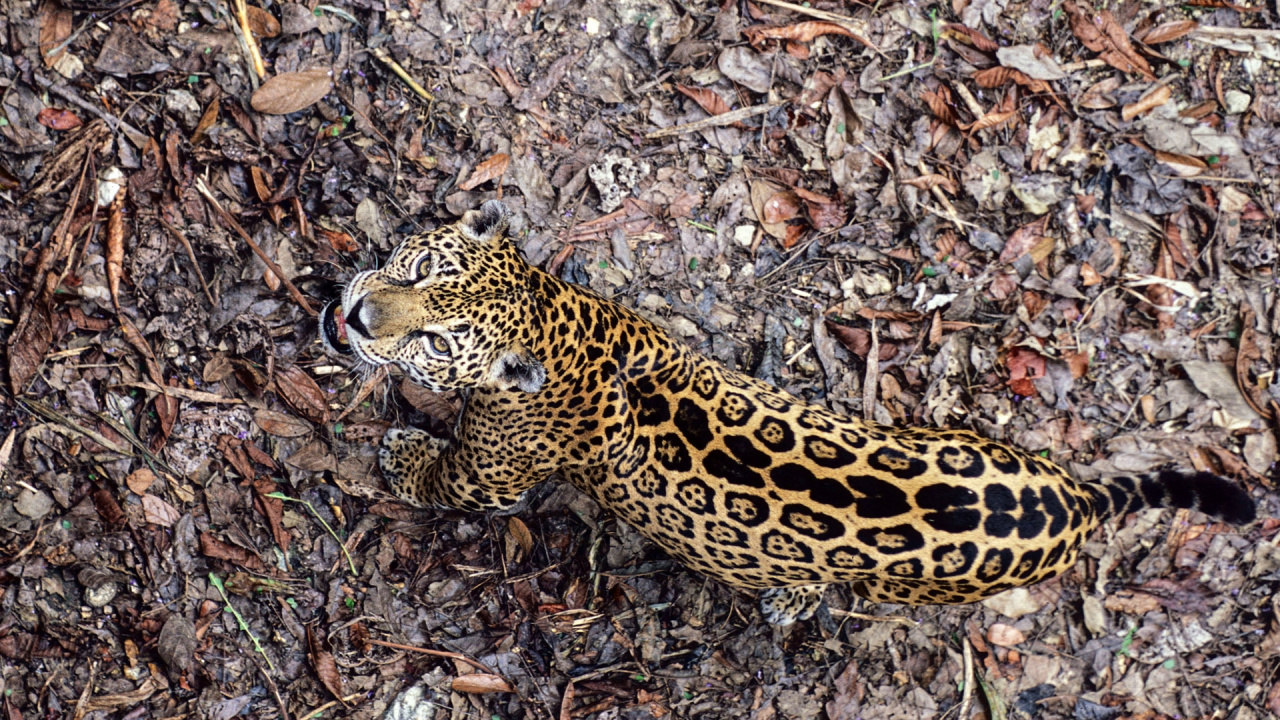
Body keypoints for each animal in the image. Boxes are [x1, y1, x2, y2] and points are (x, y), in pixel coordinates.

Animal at [321, 200, 1257, 626]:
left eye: (437, 340)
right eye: (412, 267)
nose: (358, 316)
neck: (559, 318)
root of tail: (1075, 502)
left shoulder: (493, 469)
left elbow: (447, 479)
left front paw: (400, 454)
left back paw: (789, 602)